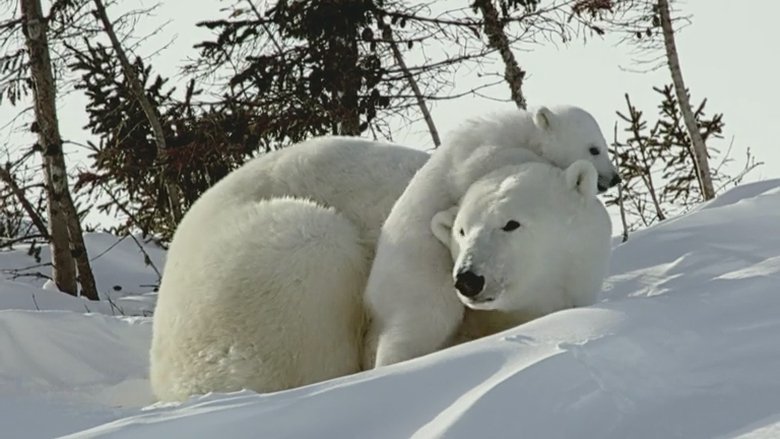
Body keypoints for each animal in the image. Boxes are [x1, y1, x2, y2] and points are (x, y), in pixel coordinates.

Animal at [364, 105, 617, 367]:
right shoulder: (486, 151)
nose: (614, 178)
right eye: (594, 149)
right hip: (419, 276)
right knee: (422, 321)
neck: (523, 131)